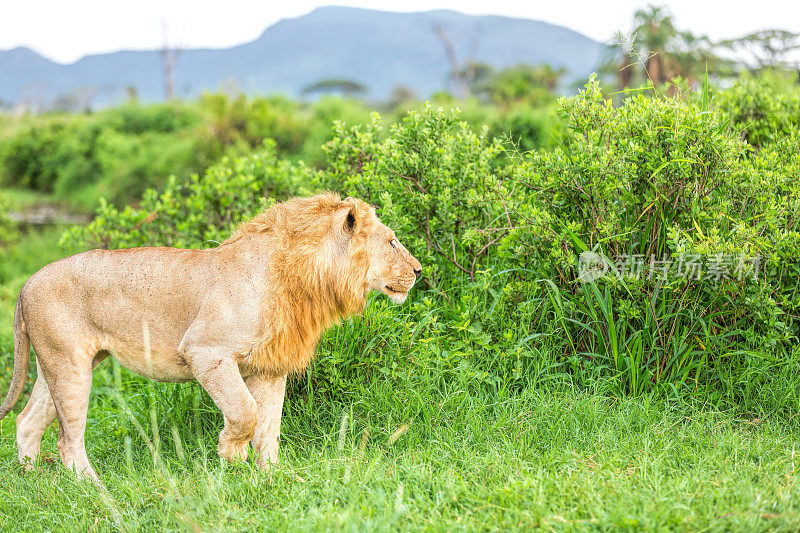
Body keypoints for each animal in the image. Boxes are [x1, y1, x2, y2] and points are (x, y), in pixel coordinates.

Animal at [0, 193, 422, 480]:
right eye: (392, 241)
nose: (419, 271)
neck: (306, 280)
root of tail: (24, 285)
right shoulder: (206, 351)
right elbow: (245, 412)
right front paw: (232, 456)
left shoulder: (268, 368)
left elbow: (269, 425)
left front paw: (271, 476)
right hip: (69, 365)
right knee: (67, 439)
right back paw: (92, 487)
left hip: (58, 363)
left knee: (27, 421)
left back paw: (33, 478)